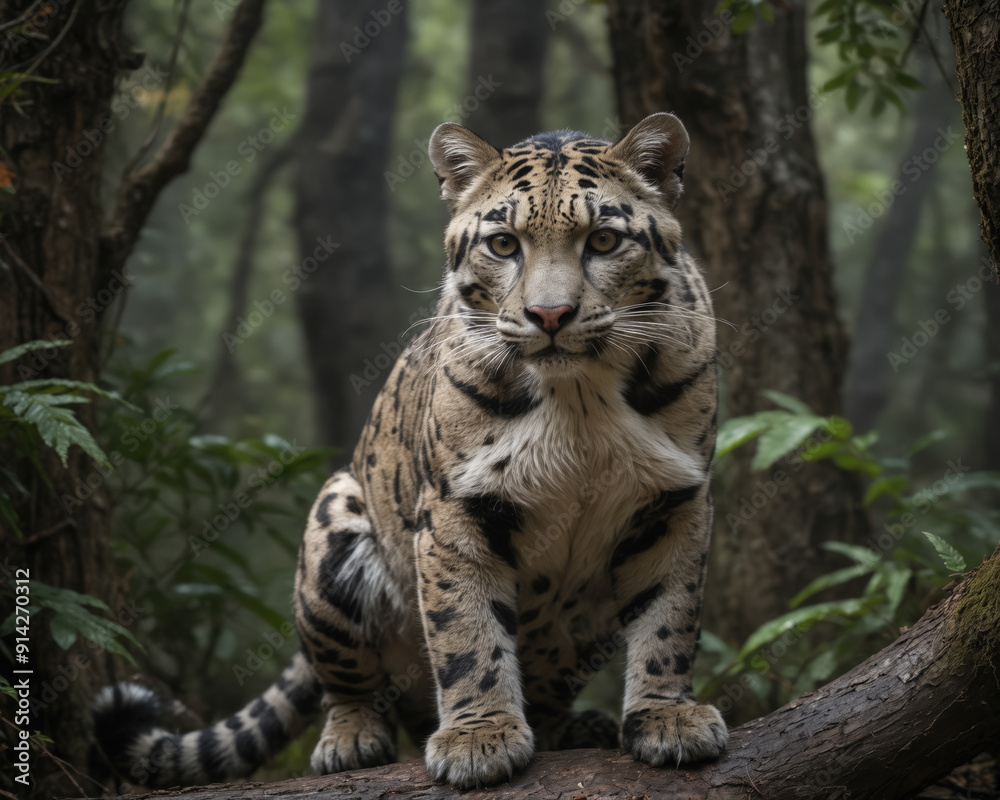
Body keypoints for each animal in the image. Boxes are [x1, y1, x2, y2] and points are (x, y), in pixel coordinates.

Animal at [92, 112, 727, 789]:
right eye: (504, 245)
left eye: (604, 241)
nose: (550, 315)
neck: (577, 399)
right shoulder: (456, 509)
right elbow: (466, 631)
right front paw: (480, 738)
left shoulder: (676, 500)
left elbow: (669, 618)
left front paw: (668, 718)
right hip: (334, 529)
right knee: (347, 681)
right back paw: (350, 740)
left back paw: (576, 726)